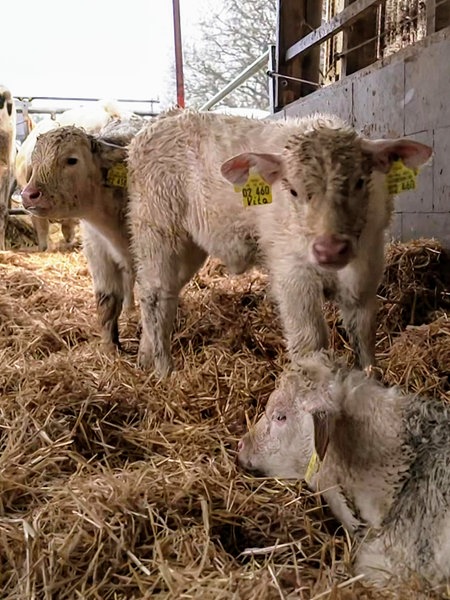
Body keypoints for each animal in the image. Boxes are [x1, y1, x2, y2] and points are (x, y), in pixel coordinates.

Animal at [20, 117, 144, 350]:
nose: (29, 194)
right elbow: (107, 302)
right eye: (35, 160)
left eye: (71, 160)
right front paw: (109, 349)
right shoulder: (97, 252)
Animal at [127, 109, 432, 376]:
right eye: (293, 191)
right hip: (158, 231)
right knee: (155, 297)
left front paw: (373, 379)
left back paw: (145, 358)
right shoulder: (292, 275)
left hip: (186, 247)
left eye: (359, 182)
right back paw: (164, 371)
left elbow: (364, 339)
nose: (330, 249)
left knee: (161, 294)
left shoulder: (367, 271)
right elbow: (310, 342)